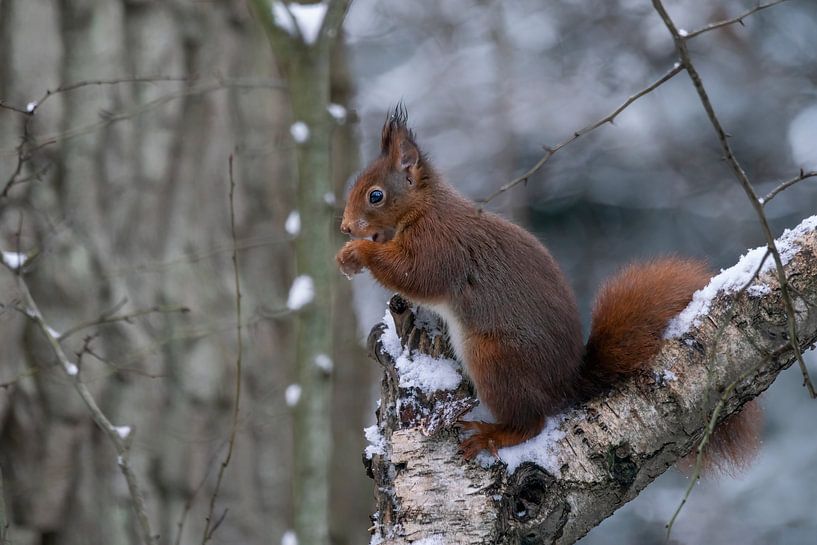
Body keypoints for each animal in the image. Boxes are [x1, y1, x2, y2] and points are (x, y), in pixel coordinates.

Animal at [336, 106, 760, 469]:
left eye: (376, 195)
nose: (344, 228)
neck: (422, 208)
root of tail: (564, 385)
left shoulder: (440, 246)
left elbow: (414, 274)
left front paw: (358, 253)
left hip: (495, 359)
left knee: (531, 423)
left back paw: (490, 434)